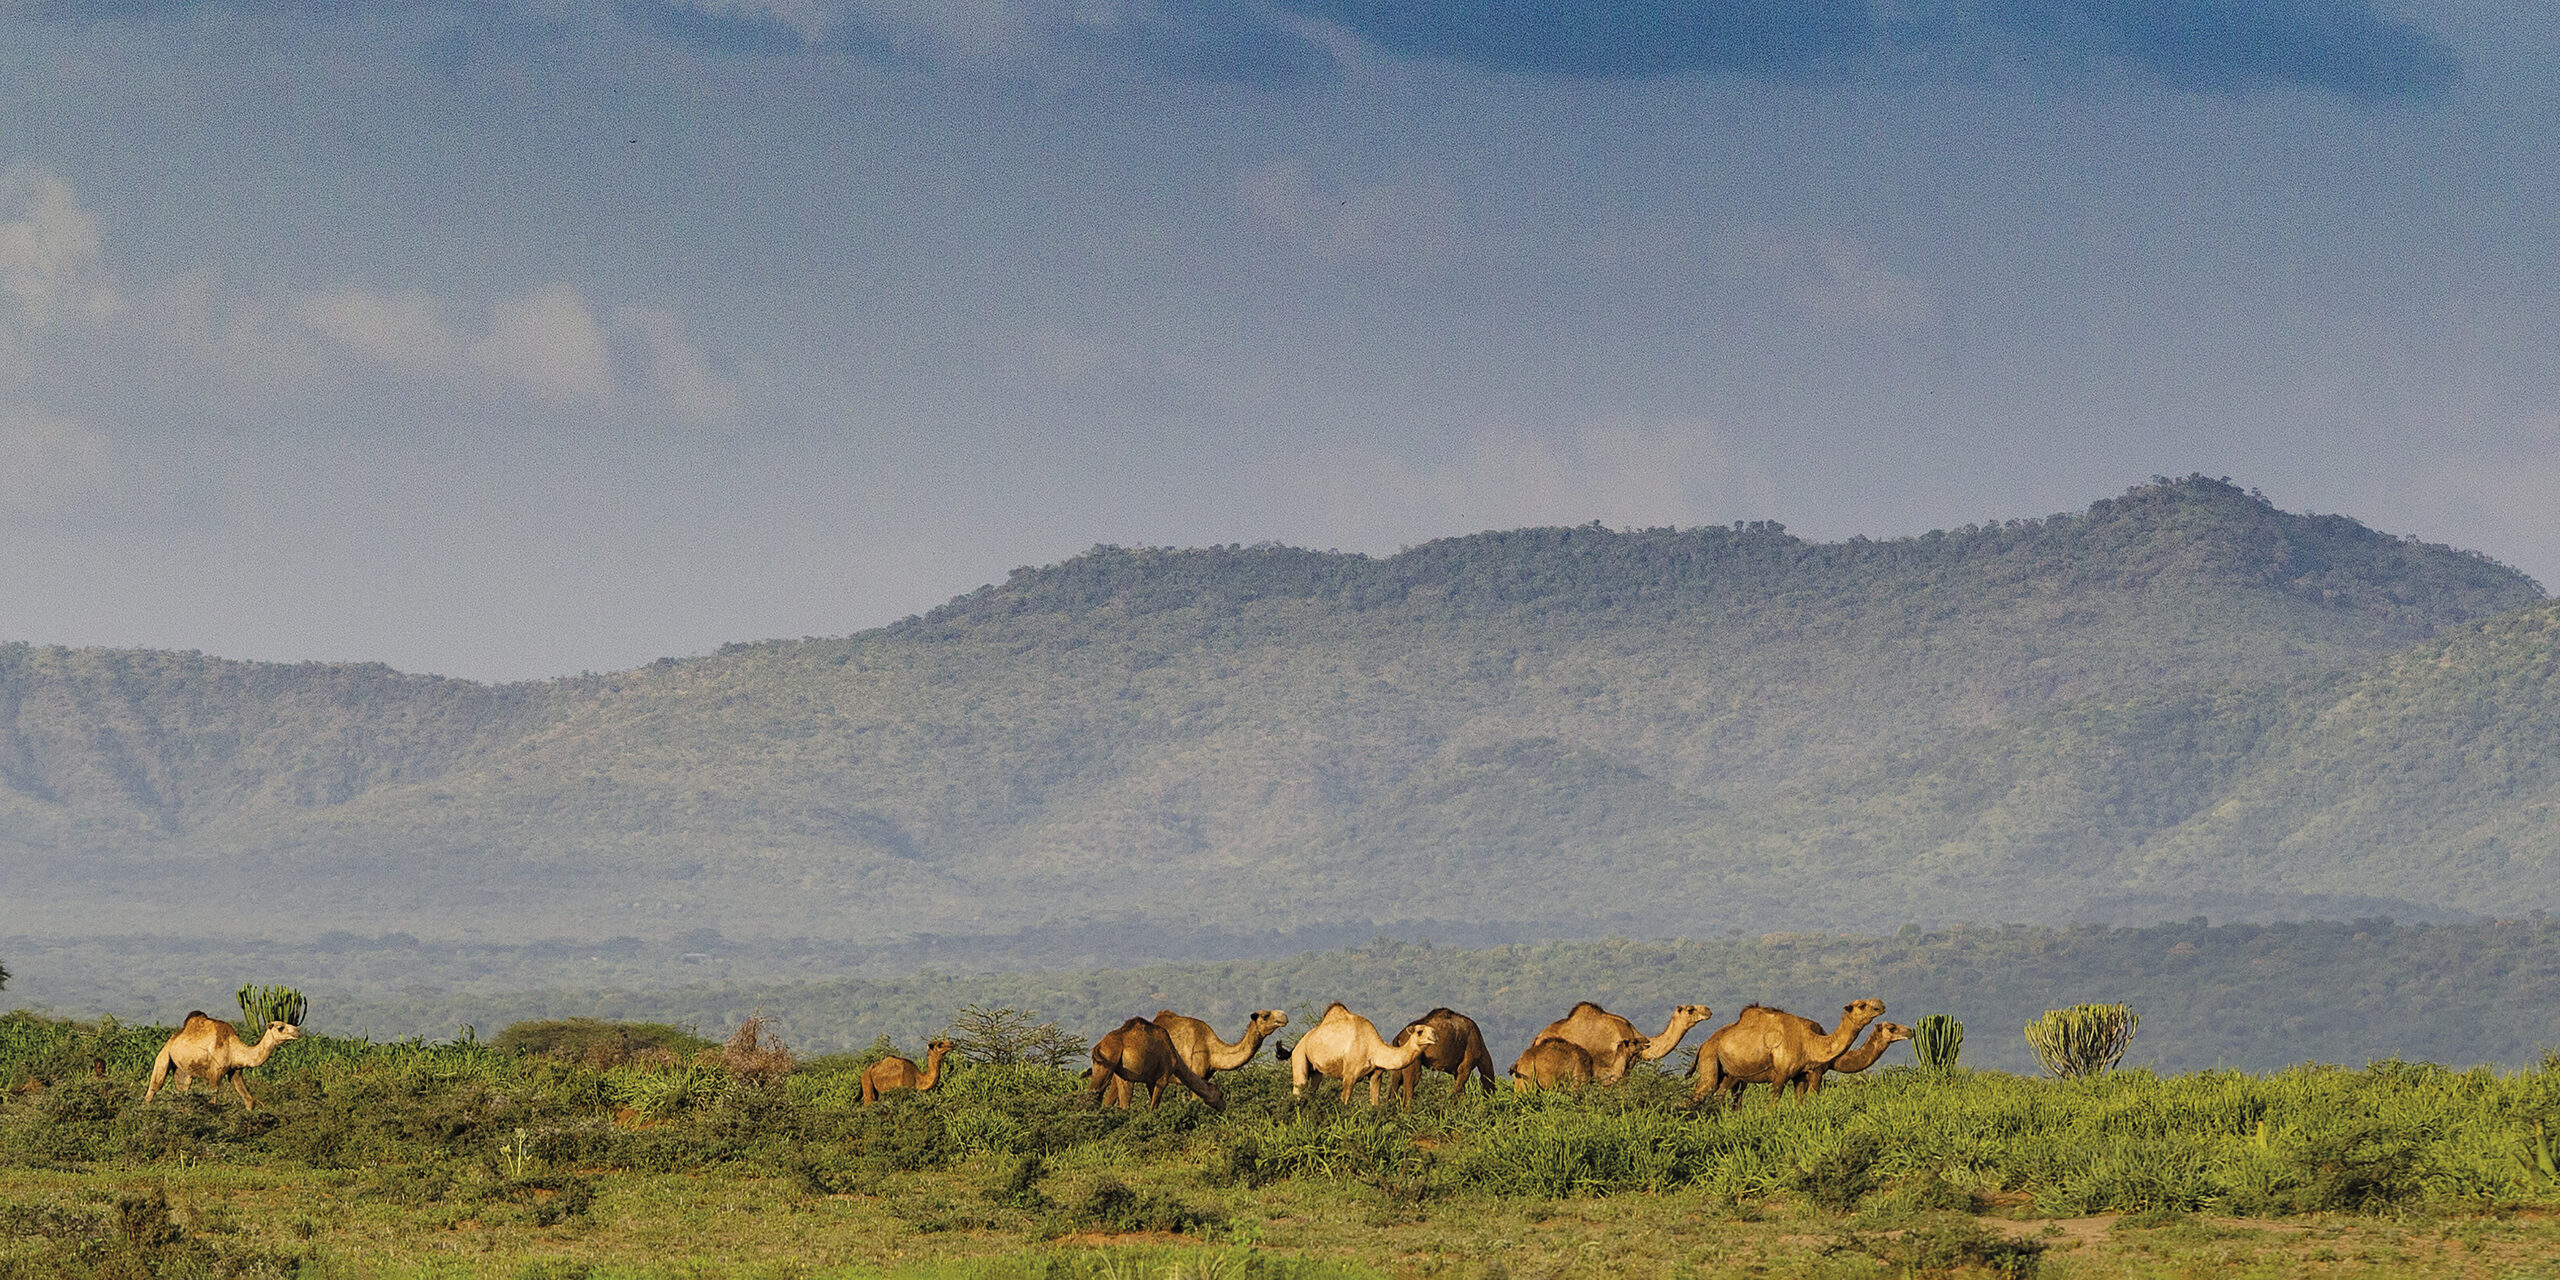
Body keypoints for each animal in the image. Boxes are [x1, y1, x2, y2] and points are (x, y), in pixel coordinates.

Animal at [145, 1012, 302, 1111]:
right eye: (280, 1027)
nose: (297, 1031)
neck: (234, 1049)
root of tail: (173, 1037)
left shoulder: (235, 1071)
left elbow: (249, 1099)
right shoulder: (215, 1071)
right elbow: (213, 1101)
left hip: (182, 1069)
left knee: (183, 1089)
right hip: (164, 1056)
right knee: (154, 1087)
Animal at [1086, 1017, 1225, 1111]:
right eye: (1220, 1095)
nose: (1223, 1107)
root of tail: (1098, 1046)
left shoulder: (1150, 1080)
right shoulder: (1163, 1077)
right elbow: (1154, 1106)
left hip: (1112, 1071)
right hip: (1111, 1068)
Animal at [1289, 1005, 1437, 1104]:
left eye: (1432, 1029)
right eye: (1419, 1031)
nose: (1435, 1036)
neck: (1373, 1048)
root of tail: (1298, 1044)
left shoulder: (1376, 1074)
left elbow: (1375, 1102)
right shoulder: (1349, 1075)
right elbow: (1344, 1101)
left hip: (1316, 1070)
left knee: (1313, 1086)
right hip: (1300, 1055)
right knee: (1299, 1087)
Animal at [1509, 1034, 1644, 1092]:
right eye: (1634, 1042)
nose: (1646, 1042)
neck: (1593, 1068)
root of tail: (1518, 1064)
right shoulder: (1577, 1084)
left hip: (1519, 1083)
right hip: (1529, 1081)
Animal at [1688, 1000, 1887, 1107]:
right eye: (1862, 1005)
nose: (1881, 1005)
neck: (1812, 1042)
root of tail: (1703, 1045)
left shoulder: (1802, 1074)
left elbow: (1802, 1101)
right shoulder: (1783, 1073)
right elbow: (1773, 1104)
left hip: (1732, 1075)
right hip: (1710, 1059)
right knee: (1703, 1091)